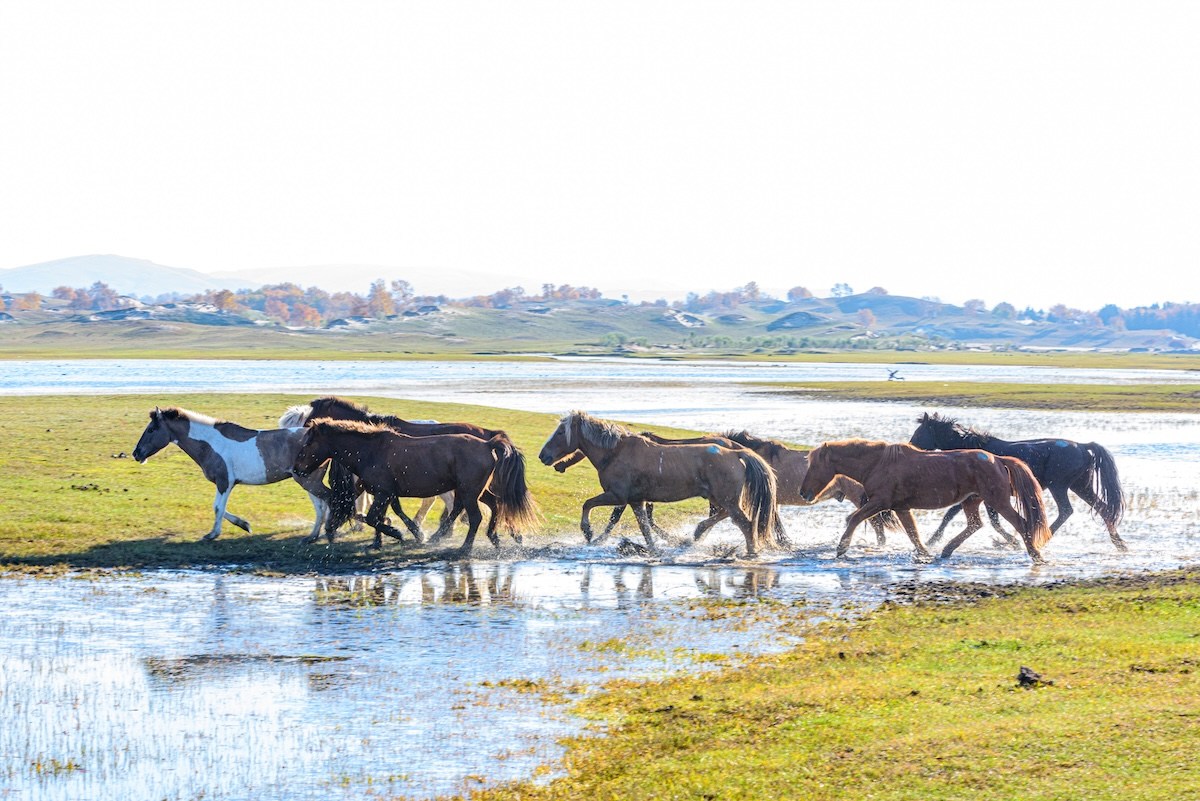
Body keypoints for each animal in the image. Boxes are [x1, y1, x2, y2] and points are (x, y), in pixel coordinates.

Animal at [132, 406, 331, 541]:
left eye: (151, 429)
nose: (136, 453)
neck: (211, 444)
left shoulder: (224, 482)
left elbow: (218, 508)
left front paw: (213, 534)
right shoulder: (226, 484)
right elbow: (218, 508)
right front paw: (244, 525)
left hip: (309, 482)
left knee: (328, 499)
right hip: (307, 482)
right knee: (320, 506)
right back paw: (313, 536)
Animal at [288, 397, 534, 545]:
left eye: (308, 424)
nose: (296, 468)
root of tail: (489, 438)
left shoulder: (382, 488)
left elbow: (372, 510)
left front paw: (399, 533)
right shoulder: (384, 488)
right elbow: (386, 509)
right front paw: (398, 533)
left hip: (468, 488)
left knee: (467, 507)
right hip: (473, 488)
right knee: (485, 504)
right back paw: (499, 535)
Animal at [538, 411, 778, 556]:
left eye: (561, 432)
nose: (543, 456)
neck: (615, 452)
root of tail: (737, 453)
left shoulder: (617, 496)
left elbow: (588, 505)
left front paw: (588, 532)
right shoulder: (636, 501)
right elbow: (644, 527)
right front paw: (653, 550)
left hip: (726, 500)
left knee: (744, 523)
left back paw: (749, 552)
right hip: (719, 499)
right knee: (725, 517)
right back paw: (696, 534)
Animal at [798, 438, 1053, 563]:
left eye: (815, 465)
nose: (803, 492)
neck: (878, 463)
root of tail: (998, 460)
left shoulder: (880, 502)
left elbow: (854, 518)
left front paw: (841, 549)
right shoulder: (901, 508)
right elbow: (913, 533)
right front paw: (925, 553)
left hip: (998, 501)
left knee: (1021, 524)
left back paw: (1035, 555)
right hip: (972, 501)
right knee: (975, 524)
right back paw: (946, 550)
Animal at [910, 412, 1126, 551]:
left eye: (919, 432)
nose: (910, 447)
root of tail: (1082, 446)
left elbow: (991, 521)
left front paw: (1009, 542)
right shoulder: (974, 494)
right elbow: (952, 516)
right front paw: (932, 540)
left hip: (1059, 486)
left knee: (1066, 511)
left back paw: (1041, 539)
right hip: (1080, 486)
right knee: (1103, 508)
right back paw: (1120, 544)